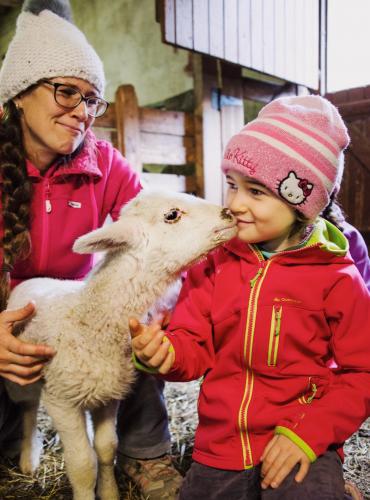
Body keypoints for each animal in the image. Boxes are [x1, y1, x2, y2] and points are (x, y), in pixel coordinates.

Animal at [5, 190, 236, 500]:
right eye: (172, 215)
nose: (229, 213)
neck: (89, 319)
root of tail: (32, 280)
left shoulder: (109, 396)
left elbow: (106, 449)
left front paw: (110, 492)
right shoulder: (62, 400)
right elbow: (82, 464)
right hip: (24, 372)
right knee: (28, 408)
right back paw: (28, 458)